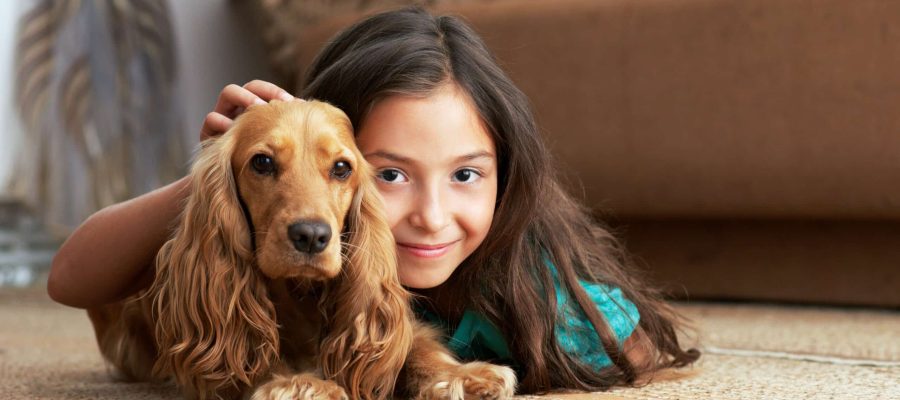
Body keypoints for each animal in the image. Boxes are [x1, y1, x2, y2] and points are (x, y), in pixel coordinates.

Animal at [89, 100, 520, 400]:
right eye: (262, 162)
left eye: (342, 168)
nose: (311, 235)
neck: (302, 295)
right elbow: (253, 355)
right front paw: (301, 383)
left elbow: (415, 347)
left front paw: (463, 376)